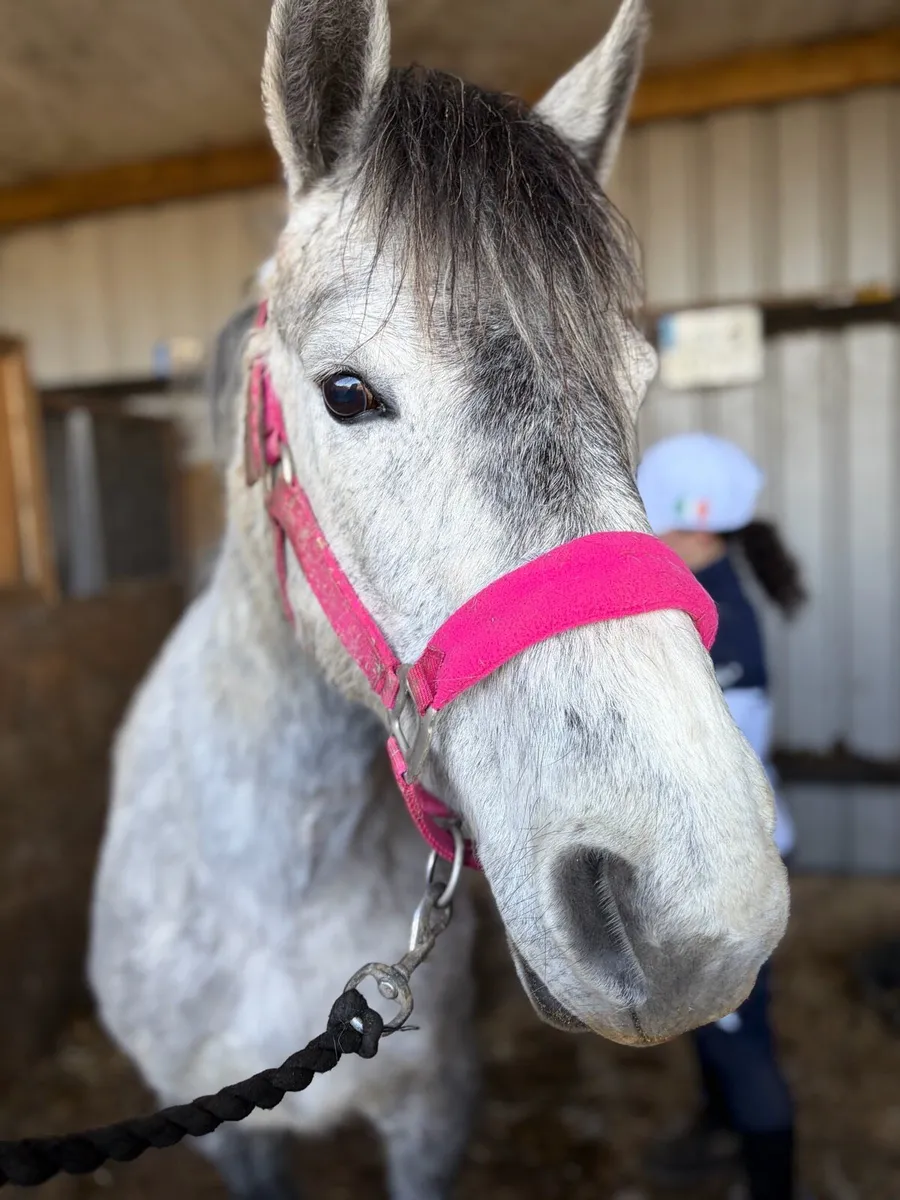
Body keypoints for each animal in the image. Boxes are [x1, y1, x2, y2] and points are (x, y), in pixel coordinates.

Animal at [88, 0, 789, 1196]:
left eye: (636, 385)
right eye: (347, 393)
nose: (701, 914)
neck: (274, 880)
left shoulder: (433, 1114)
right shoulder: (233, 1136)